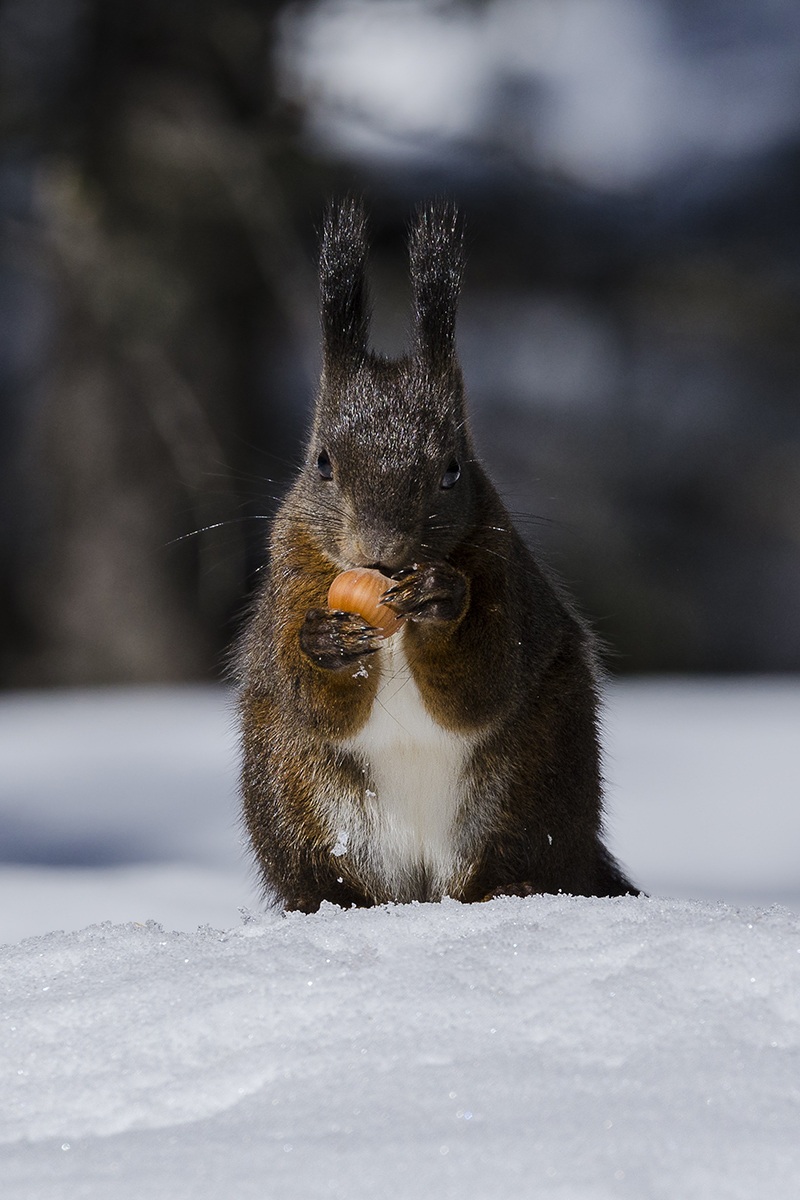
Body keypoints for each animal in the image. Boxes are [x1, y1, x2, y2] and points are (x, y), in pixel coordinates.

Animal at [237, 198, 638, 912]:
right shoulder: (290, 569)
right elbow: (308, 693)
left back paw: (516, 887)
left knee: (538, 864)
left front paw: (442, 600)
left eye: (453, 470)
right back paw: (330, 904)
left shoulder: (505, 573)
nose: (384, 552)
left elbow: (486, 679)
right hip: (287, 787)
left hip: (539, 779)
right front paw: (325, 639)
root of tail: (424, 891)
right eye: (322, 464)